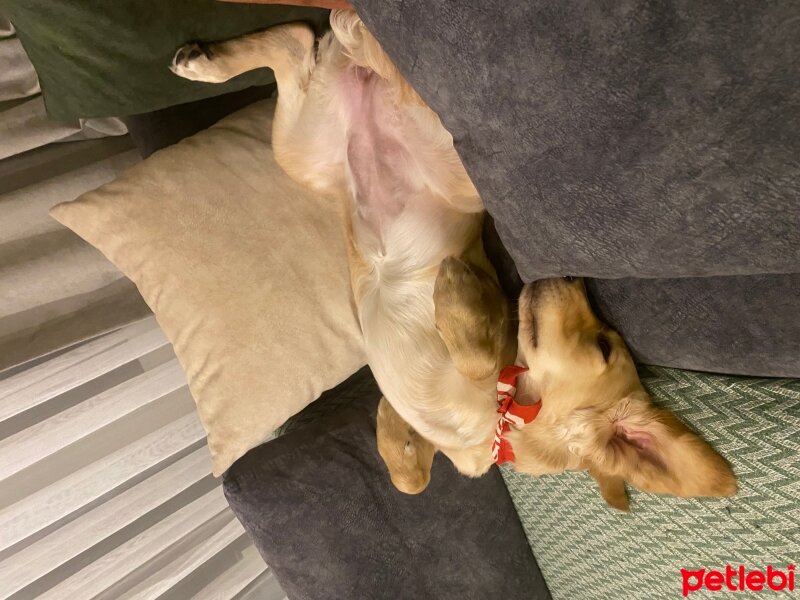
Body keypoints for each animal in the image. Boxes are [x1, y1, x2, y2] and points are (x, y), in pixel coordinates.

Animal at [173, 10, 736, 510]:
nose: (572, 275)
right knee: (316, 39)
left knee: (305, 44)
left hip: (349, 153)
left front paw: (450, 304)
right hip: (343, 147)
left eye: (602, 346)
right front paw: (397, 428)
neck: (500, 417)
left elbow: (417, 473)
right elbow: (413, 477)